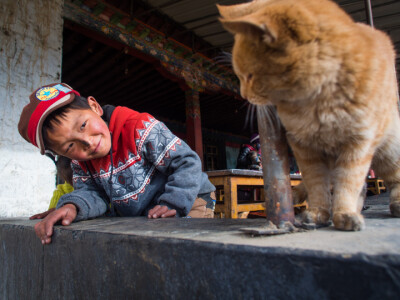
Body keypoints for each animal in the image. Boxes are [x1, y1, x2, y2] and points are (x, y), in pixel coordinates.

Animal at [219, 0, 400, 232]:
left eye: (249, 75)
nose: (242, 94)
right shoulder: (304, 148)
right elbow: (316, 184)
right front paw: (318, 213)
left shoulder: (359, 142)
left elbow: (348, 182)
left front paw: (344, 213)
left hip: (389, 148)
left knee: (392, 178)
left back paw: (394, 205)